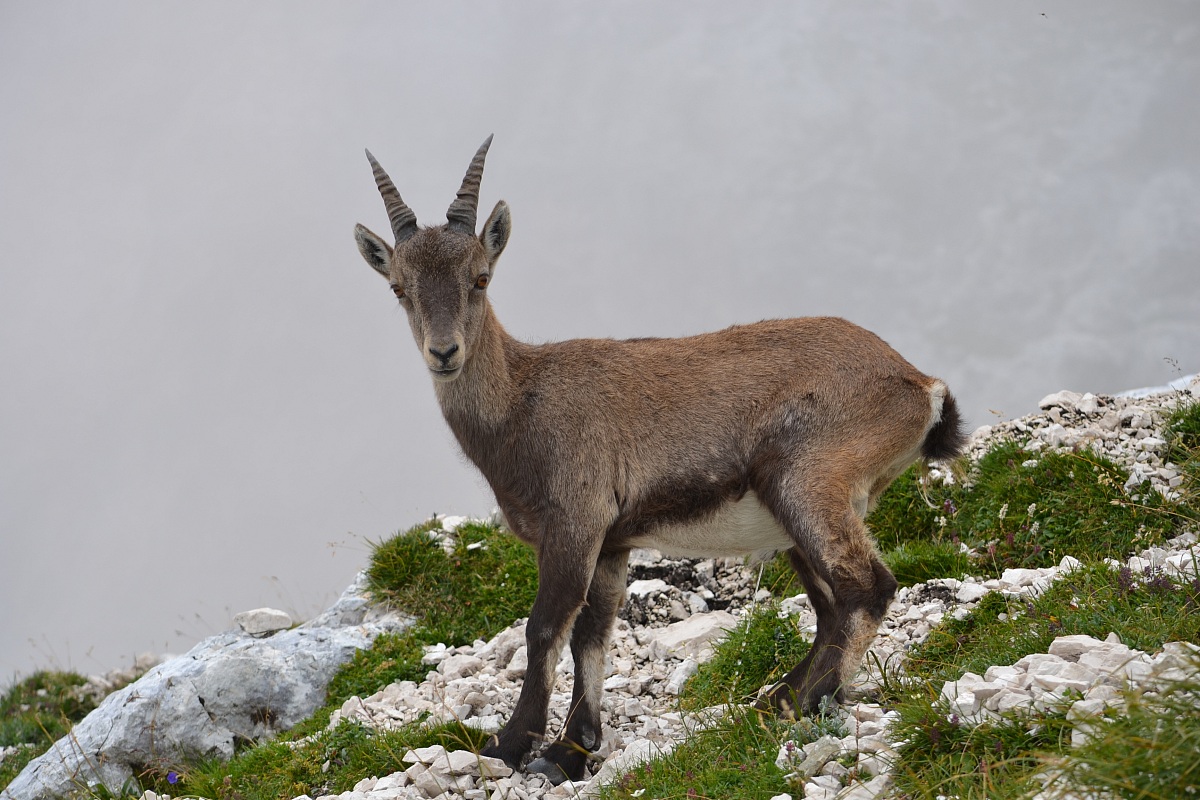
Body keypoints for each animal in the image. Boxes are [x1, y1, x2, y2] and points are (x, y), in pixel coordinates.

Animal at [352, 136, 966, 784]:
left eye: (480, 278)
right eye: (399, 288)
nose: (444, 353)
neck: (523, 402)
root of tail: (919, 385)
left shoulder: (575, 522)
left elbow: (544, 626)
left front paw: (513, 745)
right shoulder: (612, 541)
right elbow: (591, 633)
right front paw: (573, 748)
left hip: (805, 480)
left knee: (866, 587)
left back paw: (803, 700)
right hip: (800, 513)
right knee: (830, 604)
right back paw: (779, 697)